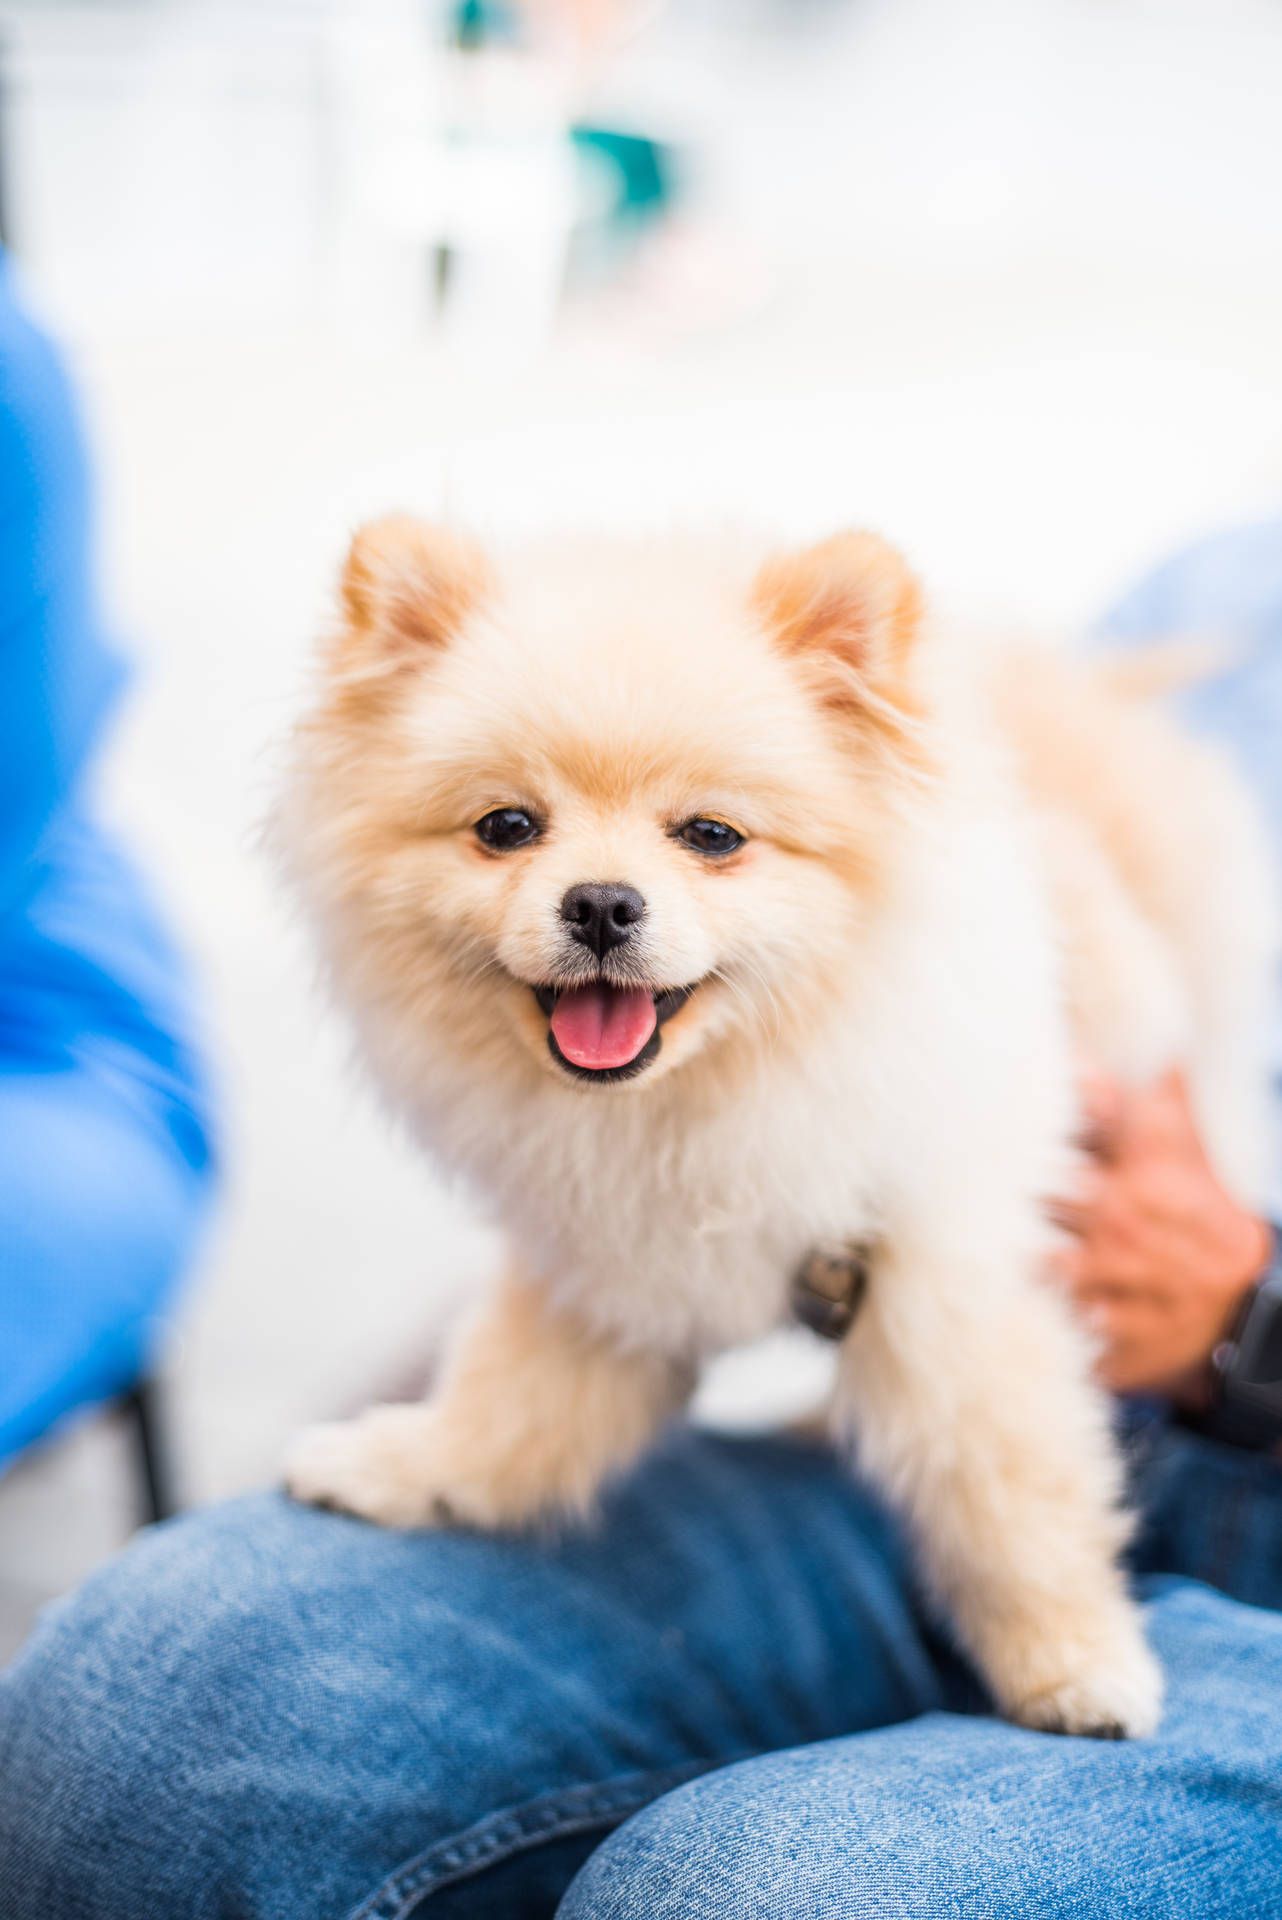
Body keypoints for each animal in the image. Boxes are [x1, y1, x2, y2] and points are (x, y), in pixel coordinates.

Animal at [280, 522, 1274, 1743]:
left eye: (713, 835)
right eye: (505, 828)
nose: (600, 902)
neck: (694, 1098)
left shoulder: (946, 1270)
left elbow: (1008, 1485)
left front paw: (1076, 1661)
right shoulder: (607, 1269)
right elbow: (513, 1404)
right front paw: (405, 1463)